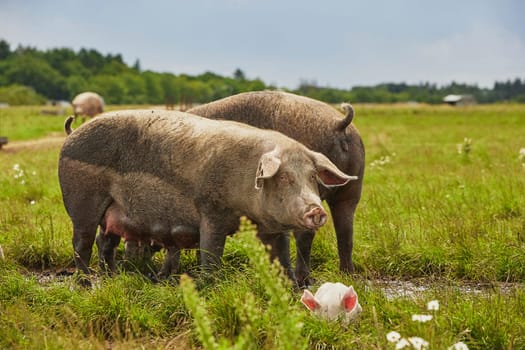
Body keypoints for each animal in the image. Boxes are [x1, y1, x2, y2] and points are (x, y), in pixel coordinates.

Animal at [58, 110, 356, 278]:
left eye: (313, 177)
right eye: (284, 177)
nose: (316, 210)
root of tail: (70, 137)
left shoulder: (272, 228)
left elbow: (281, 257)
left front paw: (290, 286)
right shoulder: (211, 212)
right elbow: (211, 254)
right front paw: (210, 284)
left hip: (112, 213)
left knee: (105, 241)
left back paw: (111, 276)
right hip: (81, 204)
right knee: (82, 243)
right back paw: (86, 282)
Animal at [187, 91, 364, 286]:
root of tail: (339, 124)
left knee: (305, 234)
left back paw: (303, 280)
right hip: (351, 190)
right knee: (346, 232)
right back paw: (347, 276)